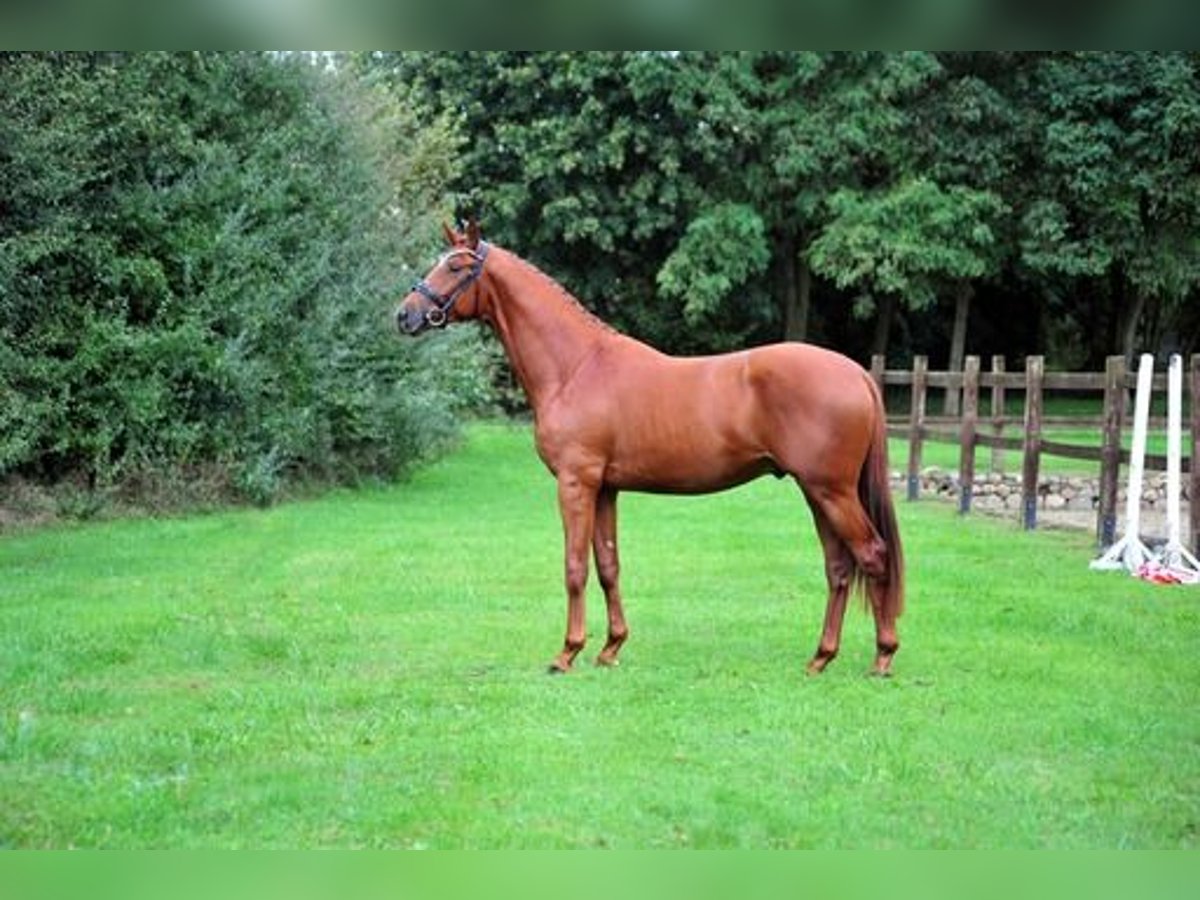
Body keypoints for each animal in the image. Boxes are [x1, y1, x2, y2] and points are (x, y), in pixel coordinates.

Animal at [396, 220, 904, 676]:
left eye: (457, 266)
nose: (405, 315)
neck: (576, 366)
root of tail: (858, 374)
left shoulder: (576, 483)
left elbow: (575, 566)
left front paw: (567, 653)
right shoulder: (605, 488)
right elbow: (608, 565)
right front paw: (610, 648)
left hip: (831, 491)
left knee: (873, 555)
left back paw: (882, 657)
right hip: (818, 492)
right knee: (839, 567)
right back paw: (821, 658)